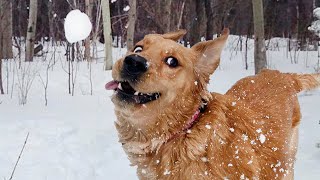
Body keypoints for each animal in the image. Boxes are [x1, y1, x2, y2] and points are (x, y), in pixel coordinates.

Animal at [105, 28, 320, 179]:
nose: (133, 61)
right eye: (138, 48)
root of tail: (281, 75)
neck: (183, 132)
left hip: (285, 166)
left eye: (172, 61)